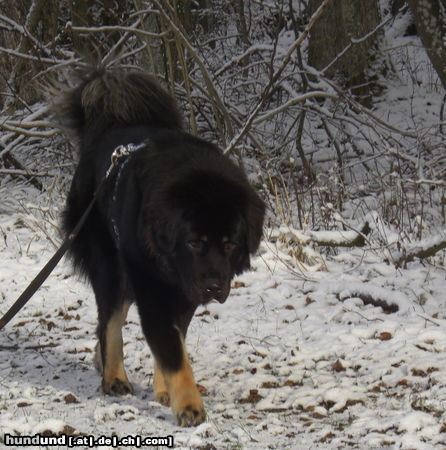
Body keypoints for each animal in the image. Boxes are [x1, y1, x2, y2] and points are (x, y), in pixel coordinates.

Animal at [55, 68, 264, 428]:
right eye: (193, 242)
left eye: (230, 244)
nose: (213, 286)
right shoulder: (154, 290)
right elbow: (172, 351)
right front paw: (189, 405)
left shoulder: (184, 294)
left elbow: (173, 342)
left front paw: (166, 390)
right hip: (111, 269)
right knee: (109, 323)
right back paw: (114, 377)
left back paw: (101, 362)